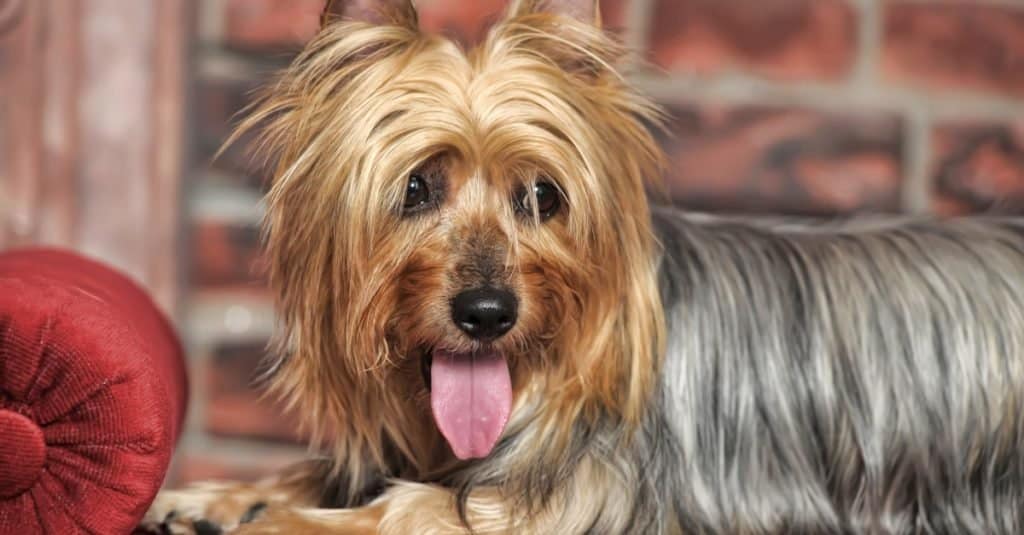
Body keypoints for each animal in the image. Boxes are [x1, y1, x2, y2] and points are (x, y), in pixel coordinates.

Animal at [142, 1, 1024, 532]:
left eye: (542, 194)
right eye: (416, 187)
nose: (488, 312)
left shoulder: (589, 503)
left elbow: (416, 508)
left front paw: (281, 517)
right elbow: (327, 471)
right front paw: (209, 498)